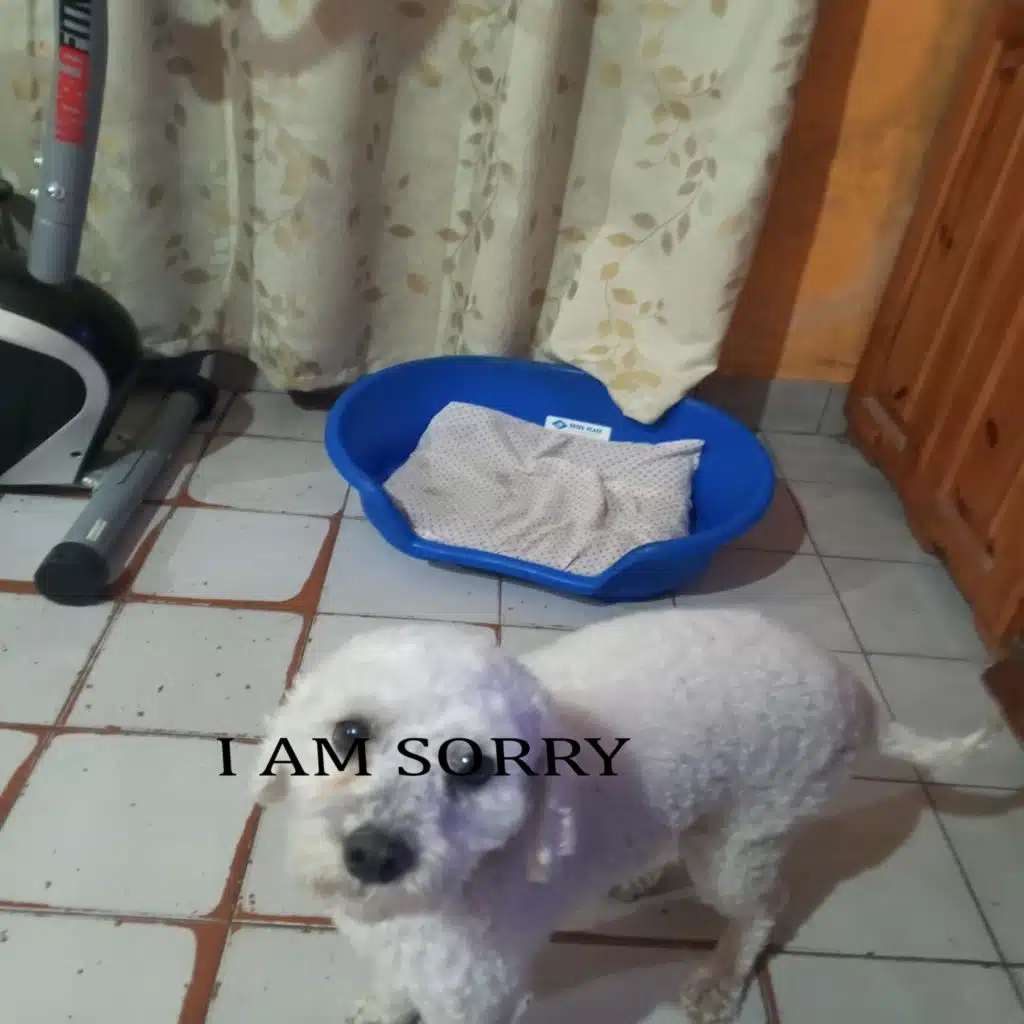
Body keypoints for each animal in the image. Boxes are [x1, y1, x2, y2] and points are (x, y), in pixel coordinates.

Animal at [252, 607, 993, 1024]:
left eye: (474, 766)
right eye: (351, 732)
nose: (375, 854)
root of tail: (856, 690)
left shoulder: (477, 996)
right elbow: (388, 991)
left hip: (740, 845)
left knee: (763, 908)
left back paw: (722, 981)